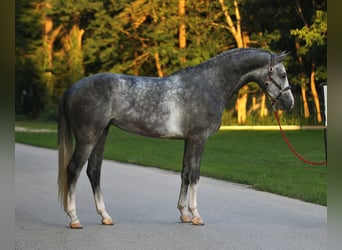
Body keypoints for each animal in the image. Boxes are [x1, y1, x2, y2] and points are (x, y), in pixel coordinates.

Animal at [58, 47, 294, 229]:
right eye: (282, 74)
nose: (290, 103)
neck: (210, 85)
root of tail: (72, 88)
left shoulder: (188, 140)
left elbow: (185, 173)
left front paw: (184, 214)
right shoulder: (199, 139)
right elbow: (196, 175)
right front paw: (196, 215)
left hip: (102, 134)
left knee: (93, 171)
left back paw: (105, 217)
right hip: (88, 137)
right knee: (74, 169)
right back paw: (74, 218)